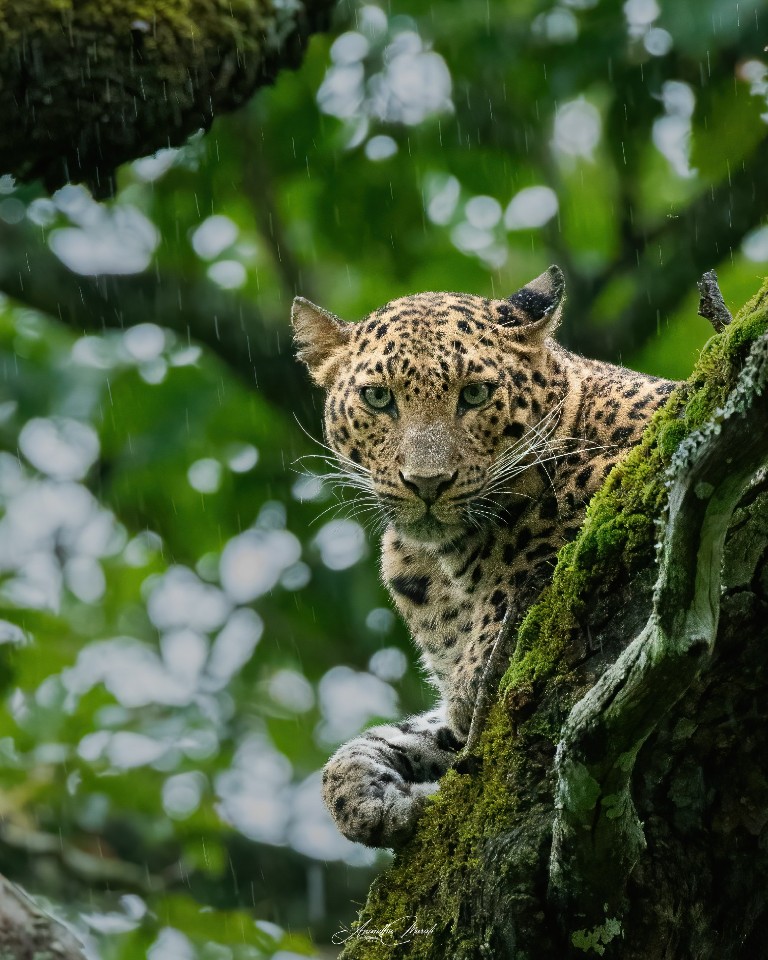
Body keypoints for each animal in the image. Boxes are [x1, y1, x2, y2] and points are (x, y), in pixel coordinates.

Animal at [291, 266, 676, 848]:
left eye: (474, 394)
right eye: (378, 398)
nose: (427, 482)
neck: (441, 561)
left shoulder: (631, 462)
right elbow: (384, 744)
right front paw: (368, 798)